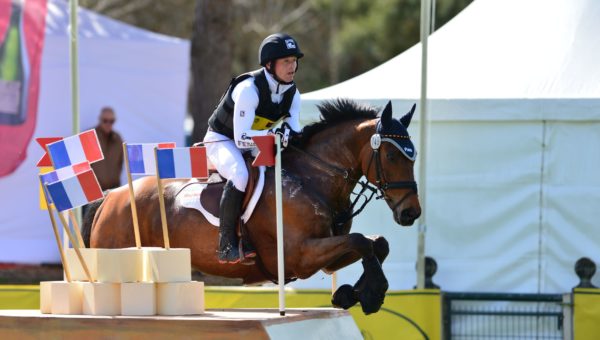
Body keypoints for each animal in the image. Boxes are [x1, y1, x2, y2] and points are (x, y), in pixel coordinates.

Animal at [82, 98, 422, 314]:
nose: (411, 212)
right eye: (392, 155)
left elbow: (377, 244)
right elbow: (362, 241)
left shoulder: (325, 254)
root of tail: (111, 196)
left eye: (413, 155)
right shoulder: (300, 255)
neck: (312, 178)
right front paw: (371, 294)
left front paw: (350, 294)